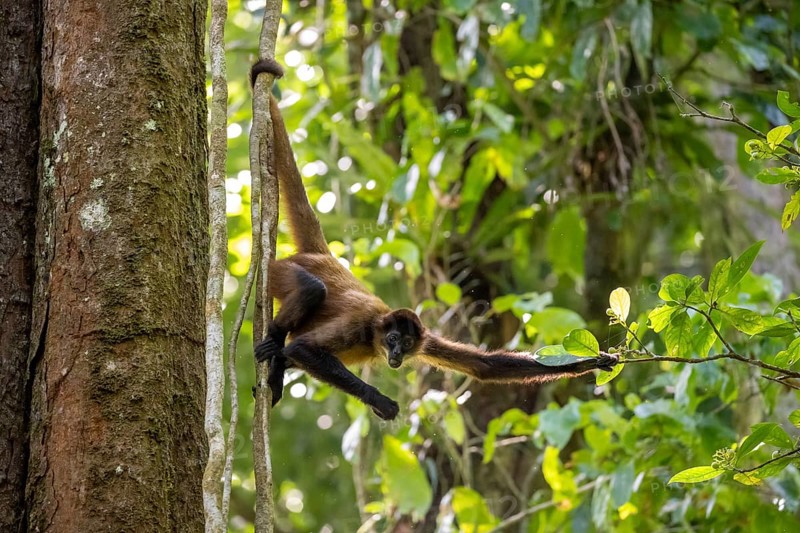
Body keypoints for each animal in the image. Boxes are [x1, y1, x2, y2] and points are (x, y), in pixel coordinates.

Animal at [250, 59, 619, 420]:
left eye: (405, 344)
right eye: (393, 339)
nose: (397, 354)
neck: (374, 336)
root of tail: (321, 255)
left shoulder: (423, 340)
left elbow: (484, 366)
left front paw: (590, 362)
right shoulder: (359, 325)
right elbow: (303, 347)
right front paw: (378, 399)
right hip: (280, 270)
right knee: (311, 290)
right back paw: (275, 350)